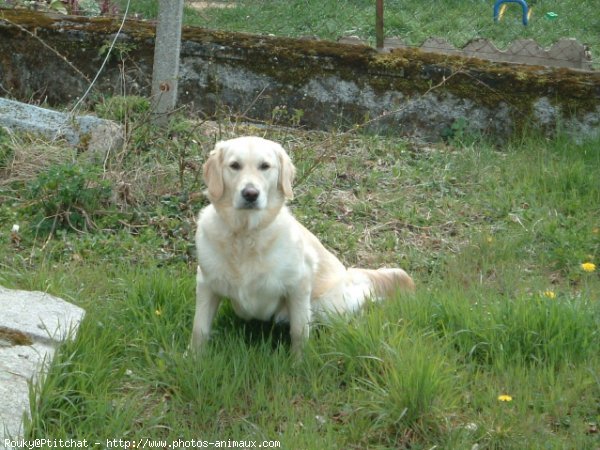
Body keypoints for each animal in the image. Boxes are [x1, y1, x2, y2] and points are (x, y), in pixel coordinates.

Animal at [191, 137, 412, 356]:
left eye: (265, 166)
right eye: (235, 165)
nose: (250, 194)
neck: (246, 234)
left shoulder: (299, 283)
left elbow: (299, 330)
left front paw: (299, 360)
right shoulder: (206, 282)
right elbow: (199, 327)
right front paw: (194, 357)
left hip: (326, 305)